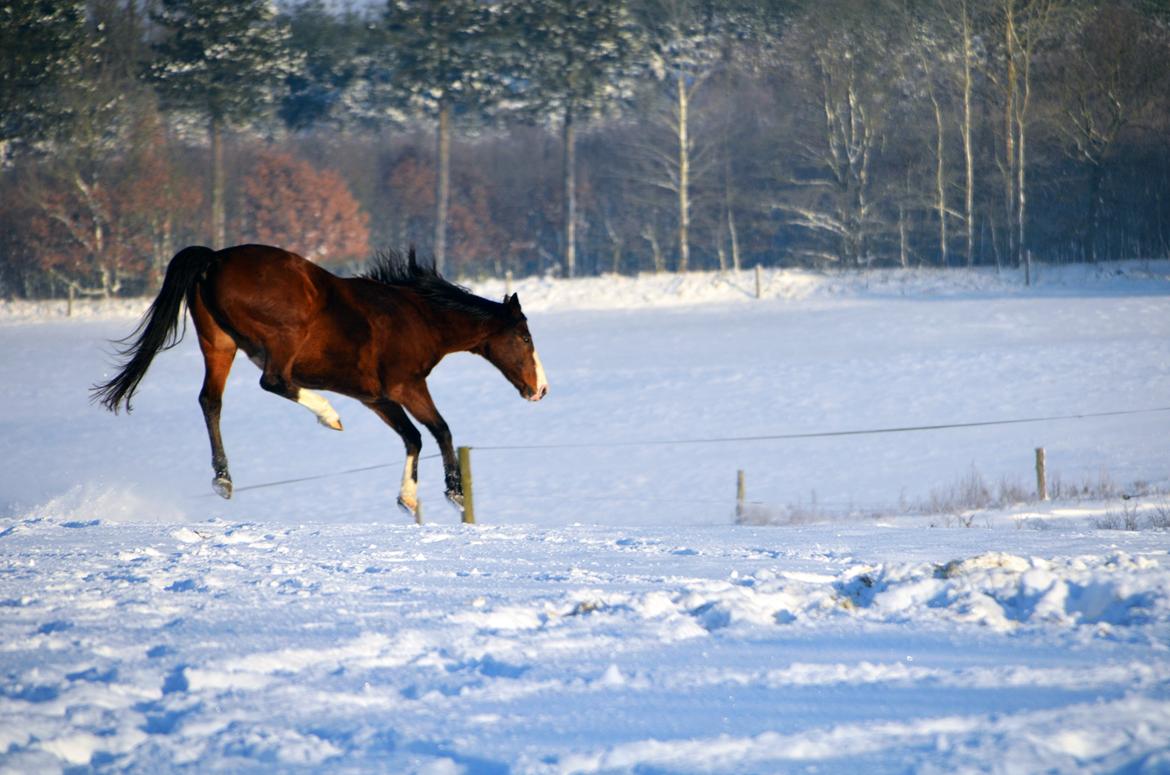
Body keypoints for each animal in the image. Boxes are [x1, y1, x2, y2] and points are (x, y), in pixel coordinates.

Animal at [92, 245, 547, 519]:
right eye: (525, 337)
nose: (540, 389)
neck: (419, 317)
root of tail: (214, 259)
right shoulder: (407, 387)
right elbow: (440, 430)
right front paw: (454, 493)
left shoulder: (375, 397)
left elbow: (413, 437)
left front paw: (408, 498)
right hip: (282, 337)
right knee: (273, 380)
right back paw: (329, 415)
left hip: (218, 343)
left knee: (210, 401)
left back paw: (224, 479)